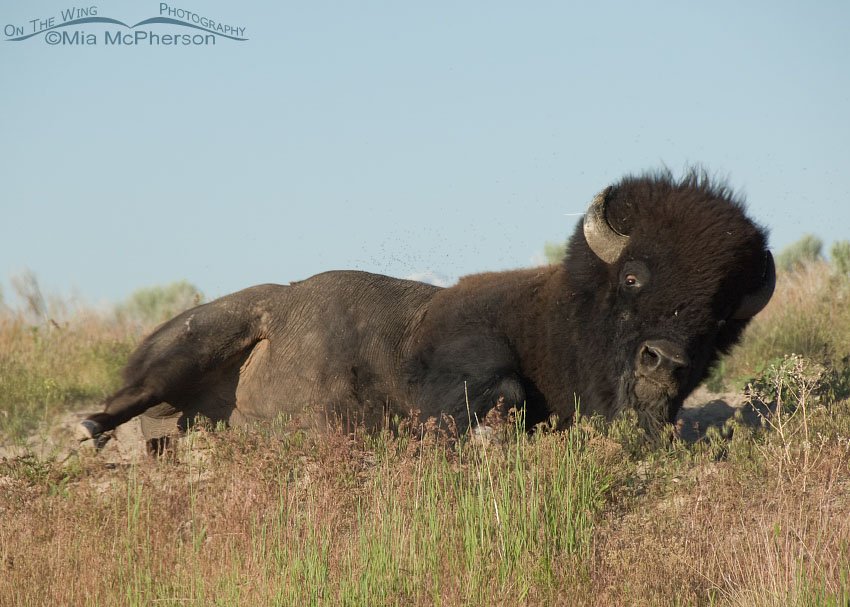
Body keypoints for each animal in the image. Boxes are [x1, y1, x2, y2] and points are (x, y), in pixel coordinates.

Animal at [78, 170, 775, 449]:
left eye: (717, 318)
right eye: (632, 277)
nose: (665, 363)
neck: (554, 313)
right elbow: (503, 392)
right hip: (205, 338)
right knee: (133, 392)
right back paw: (89, 429)